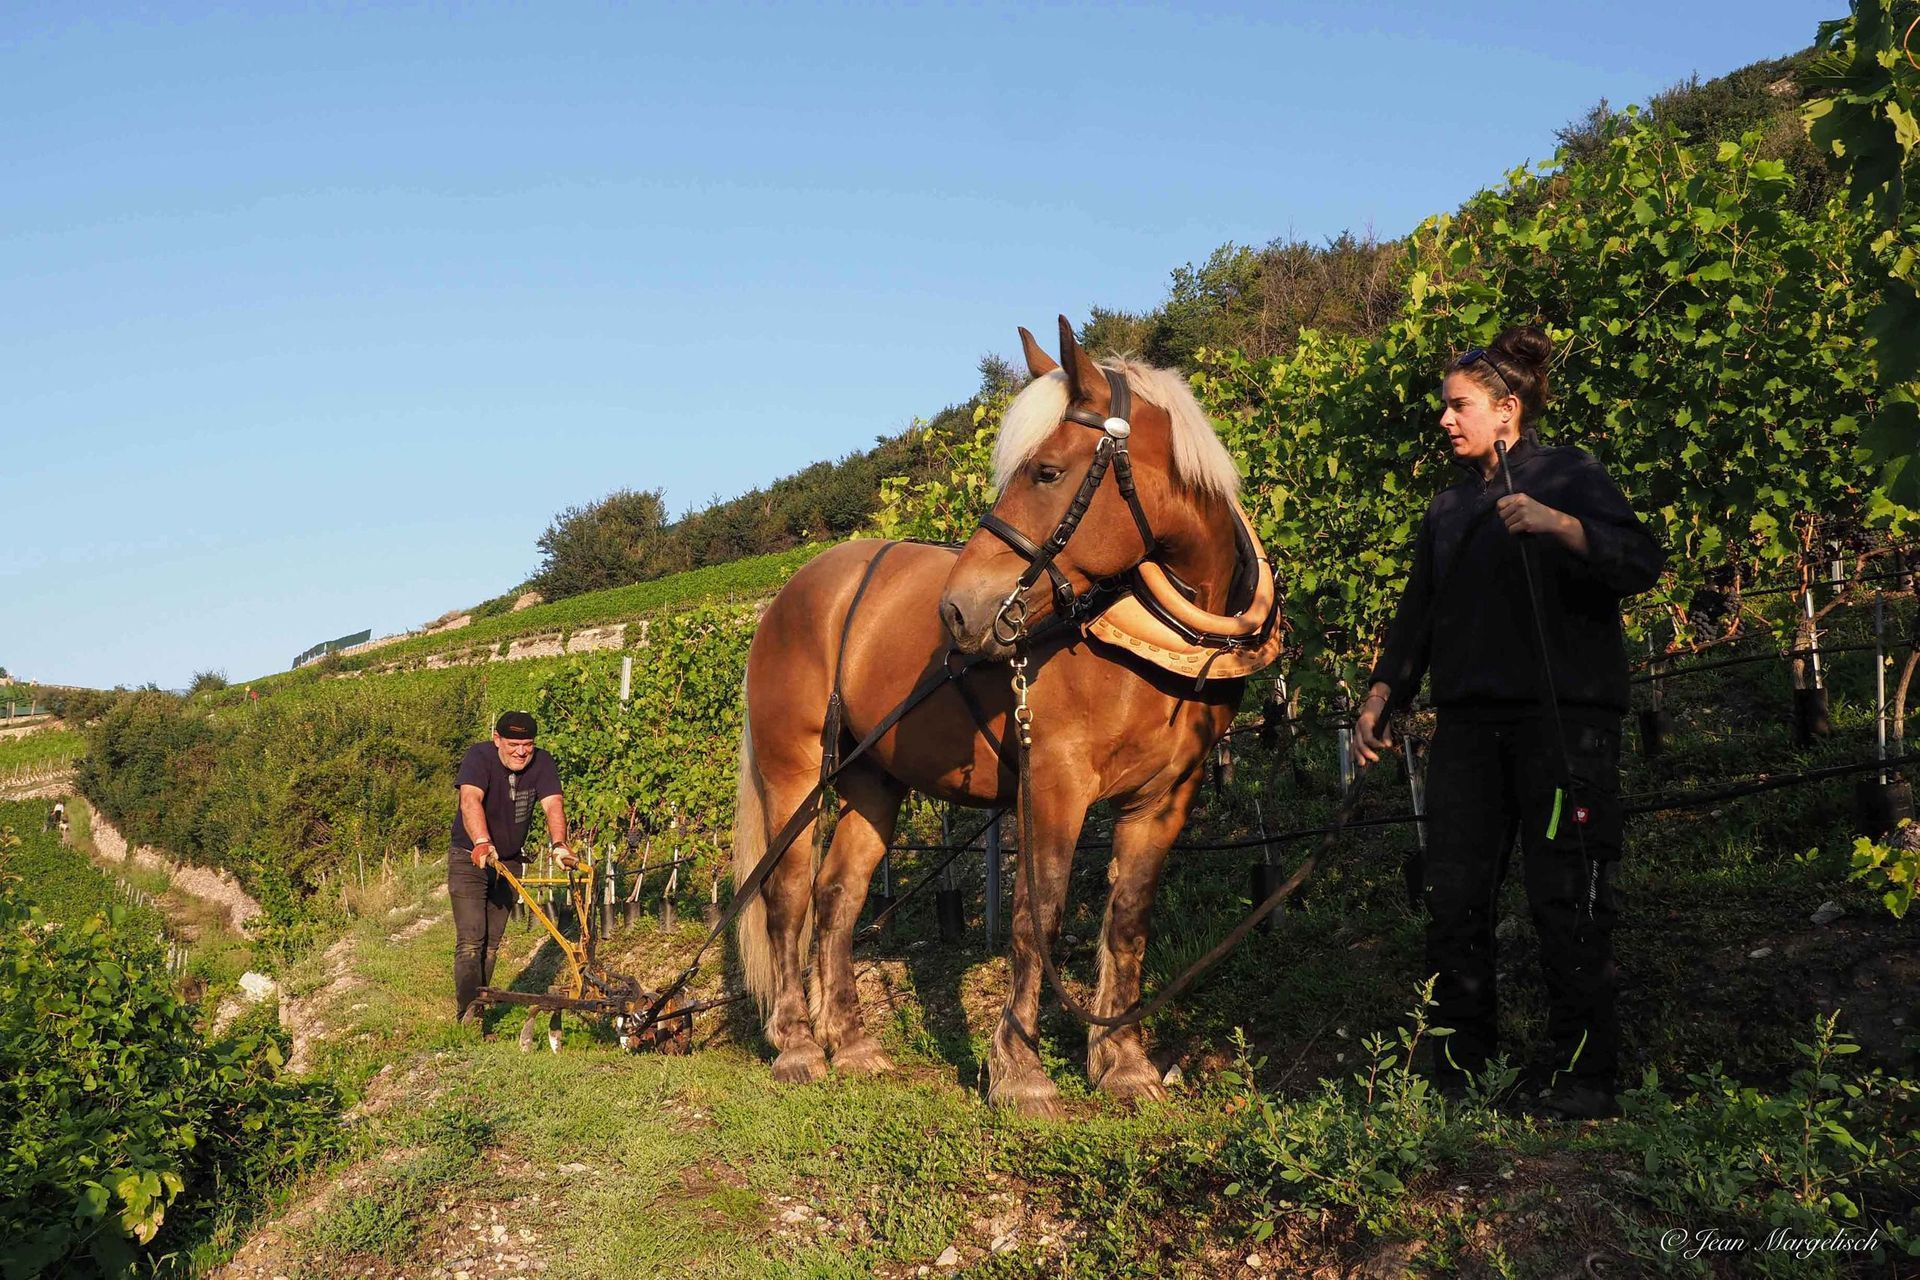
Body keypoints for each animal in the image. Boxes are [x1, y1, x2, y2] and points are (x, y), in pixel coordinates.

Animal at [732, 317, 1277, 1116]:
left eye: (1046, 472)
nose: (959, 611)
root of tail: (793, 593)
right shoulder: (1053, 780)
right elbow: (1036, 914)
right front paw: (1021, 1071)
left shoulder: (1164, 798)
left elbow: (1128, 921)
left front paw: (1124, 1064)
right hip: (794, 770)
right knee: (788, 897)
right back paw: (799, 1044)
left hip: (874, 781)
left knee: (839, 898)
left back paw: (853, 1045)